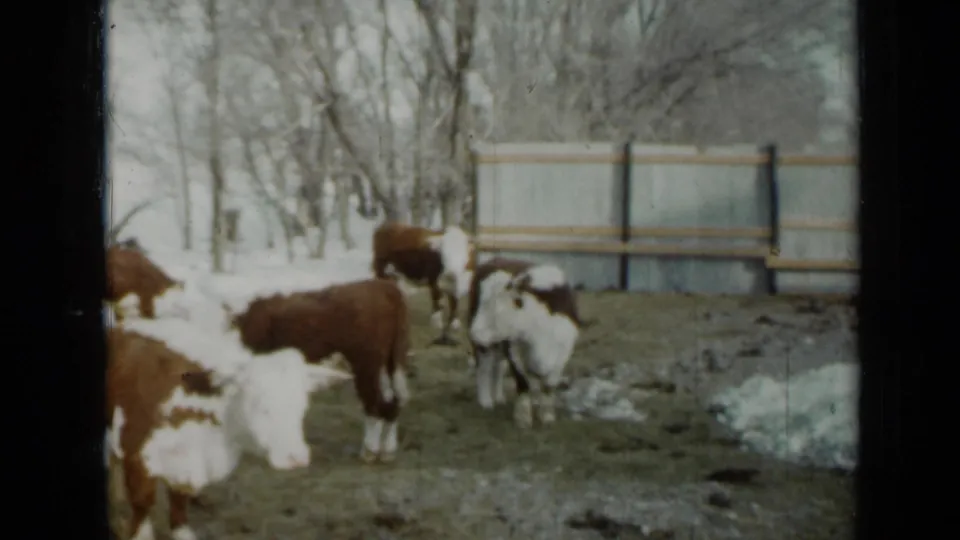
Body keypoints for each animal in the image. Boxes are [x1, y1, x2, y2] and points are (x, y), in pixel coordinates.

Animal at [105, 319, 352, 540]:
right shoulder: (136, 455)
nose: (295, 458)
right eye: (260, 405)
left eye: (302, 405)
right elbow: (142, 503)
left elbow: (179, 500)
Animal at [226, 278, 412, 464]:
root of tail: (383, 286)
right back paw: (388, 450)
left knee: (374, 403)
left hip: (367, 362)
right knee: (393, 400)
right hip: (392, 360)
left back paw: (369, 451)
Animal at [468, 258, 584, 429]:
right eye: (483, 302)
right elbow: (523, 383)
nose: (474, 331)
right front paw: (523, 419)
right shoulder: (514, 350)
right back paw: (486, 401)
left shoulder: (562, 354)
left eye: (492, 306)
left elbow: (548, 385)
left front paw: (547, 416)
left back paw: (499, 398)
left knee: (499, 367)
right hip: (486, 346)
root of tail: (495, 259)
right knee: (484, 367)